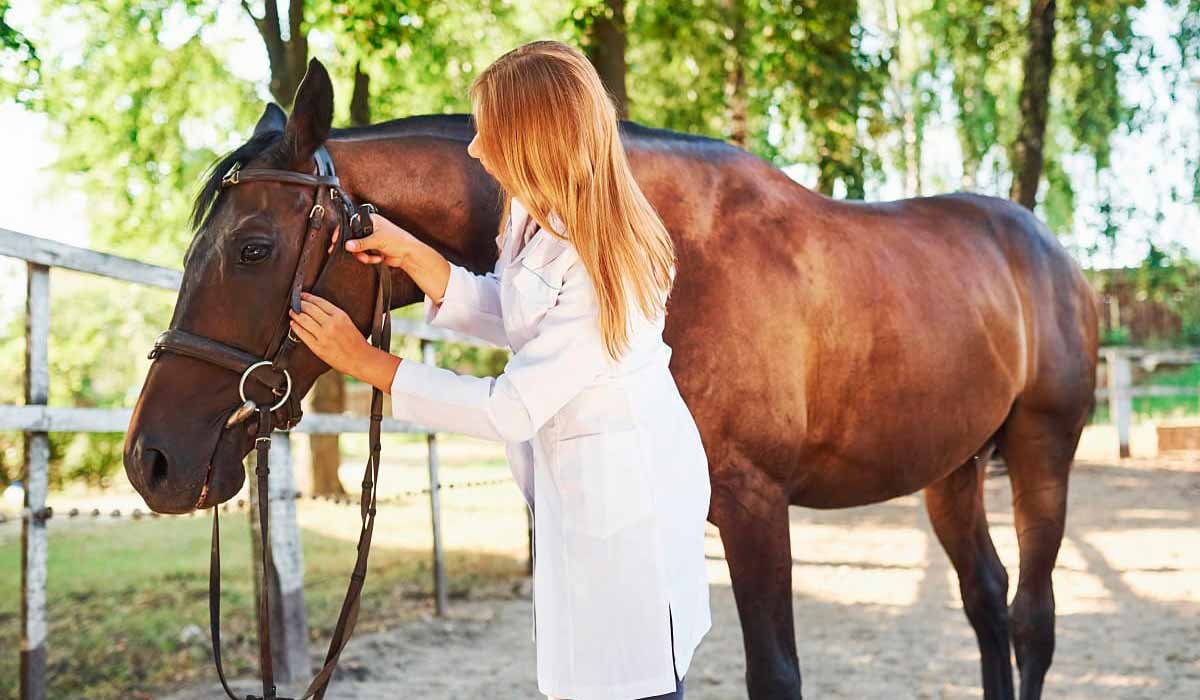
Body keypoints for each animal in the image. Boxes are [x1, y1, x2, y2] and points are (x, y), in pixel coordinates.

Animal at [124, 61, 1099, 700]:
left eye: (254, 248)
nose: (151, 462)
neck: (671, 248)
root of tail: (1049, 250)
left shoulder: (754, 504)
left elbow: (775, 672)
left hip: (1042, 454)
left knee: (1032, 619)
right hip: (952, 469)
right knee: (986, 606)